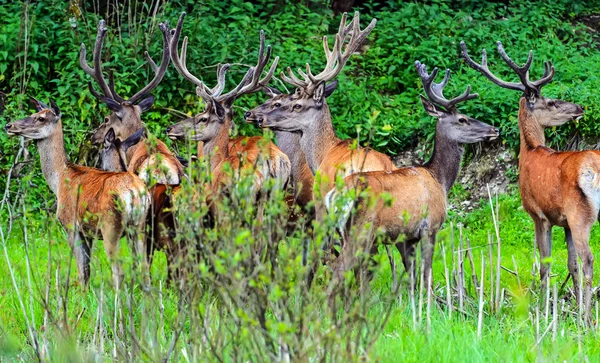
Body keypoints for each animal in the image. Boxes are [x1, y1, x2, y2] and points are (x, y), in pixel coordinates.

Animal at [5, 99, 150, 290]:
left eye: (41, 118)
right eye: (34, 114)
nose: (9, 125)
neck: (59, 180)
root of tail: (135, 194)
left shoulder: (70, 225)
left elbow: (82, 270)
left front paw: (82, 294)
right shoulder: (88, 232)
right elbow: (87, 269)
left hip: (111, 226)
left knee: (119, 271)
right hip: (140, 226)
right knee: (144, 268)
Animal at [326, 61, 500, 288]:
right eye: (462, 119)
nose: (494, 129)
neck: (439, 179)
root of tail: (335, 195)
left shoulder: (407, 237)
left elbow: (411, 276)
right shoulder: (430, 226)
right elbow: (426, 274)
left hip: (342, 231)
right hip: (361, 229)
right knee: (338, 269)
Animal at [460, 41, 592, 316]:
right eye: (551, 102)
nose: (580, 108)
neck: (530, 151)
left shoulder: (537, 213)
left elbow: (545, 264)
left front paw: (542, 308)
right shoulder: (560, 221)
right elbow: (570, 264)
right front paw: (573, 305)